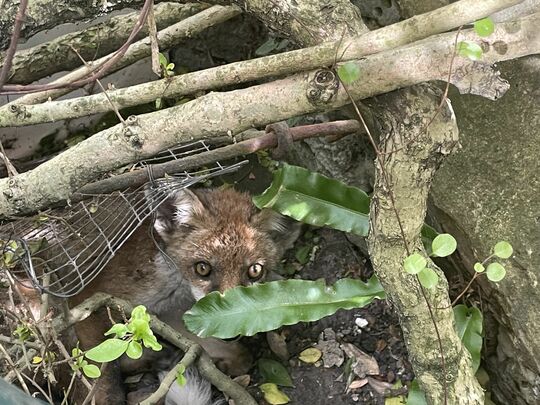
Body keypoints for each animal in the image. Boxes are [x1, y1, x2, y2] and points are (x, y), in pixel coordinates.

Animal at [67, 187, 300, 404]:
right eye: (202, 268)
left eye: (255, 271)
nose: (233, 331)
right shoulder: (87, 302)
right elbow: (102, 382)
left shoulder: (175, 315)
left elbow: (219, 348)